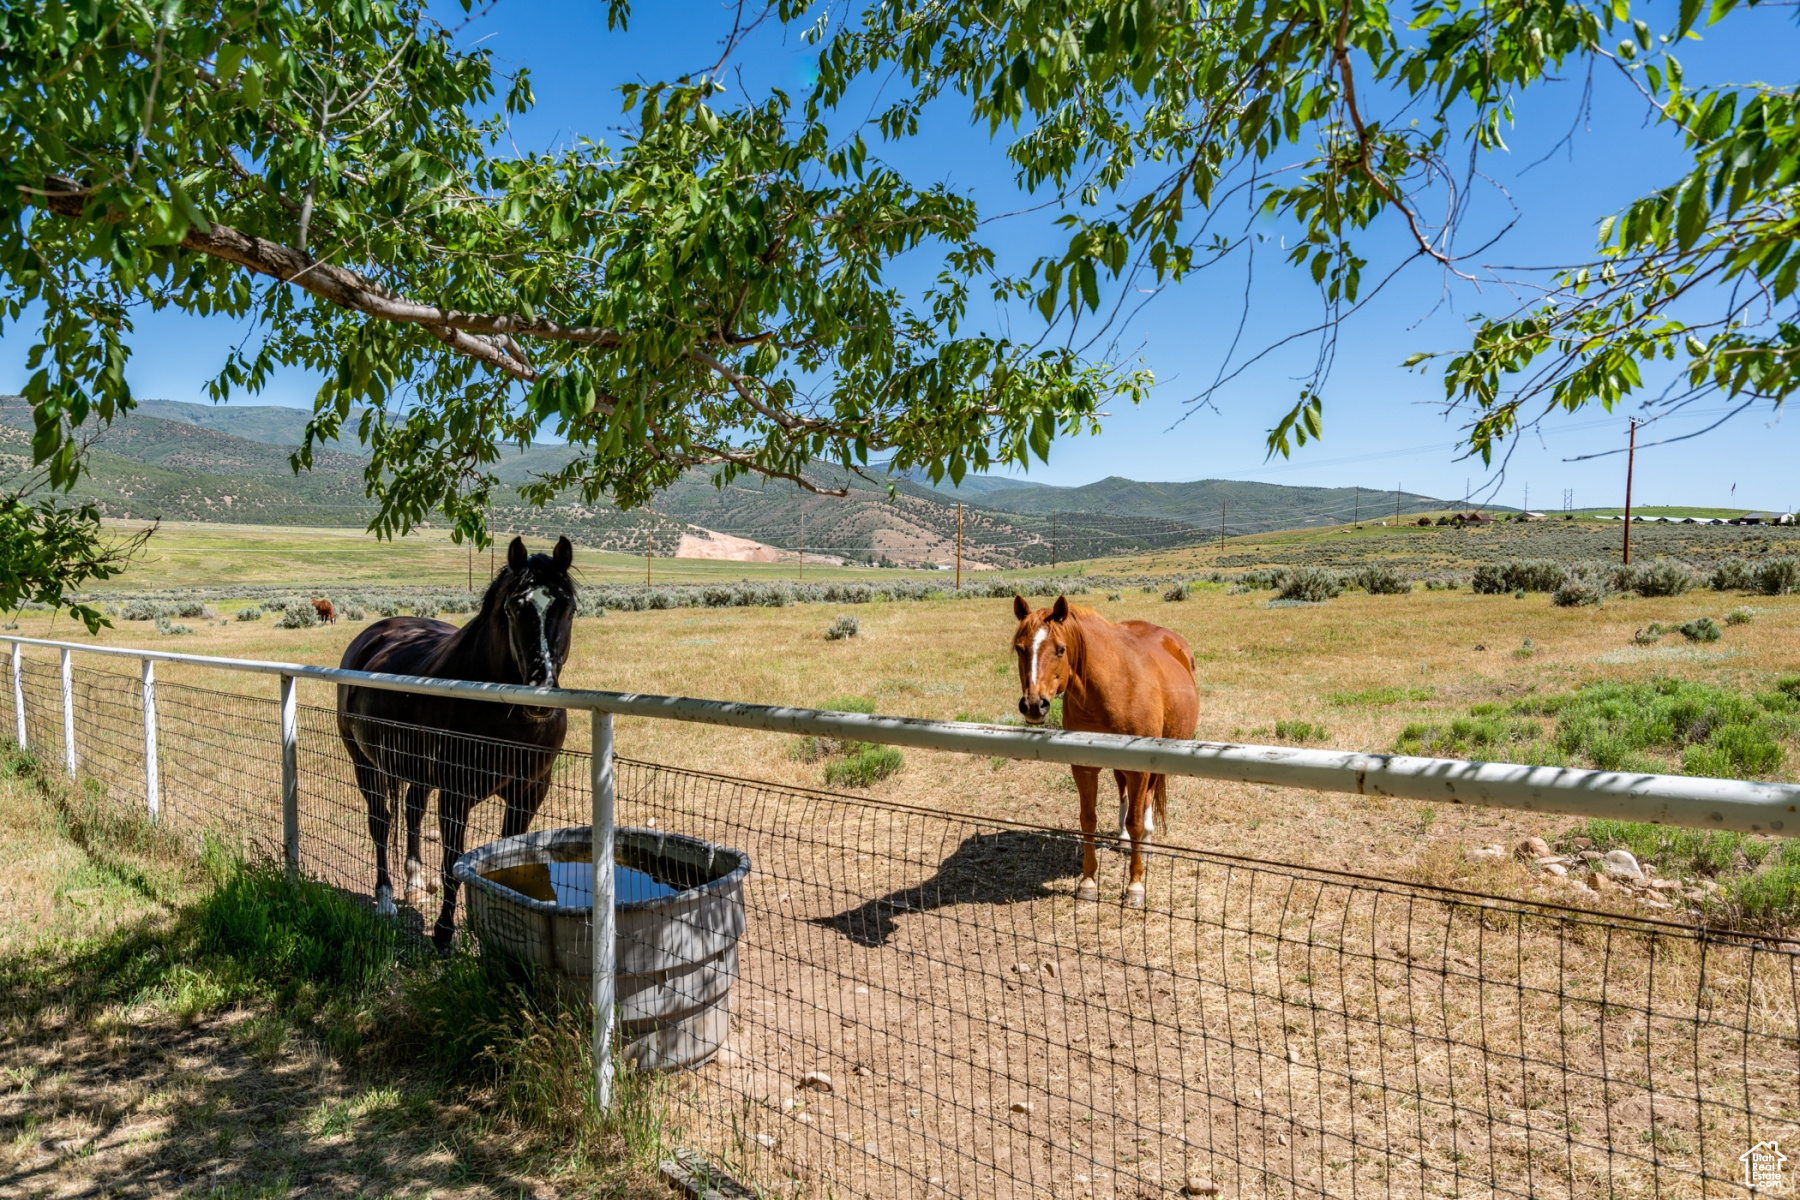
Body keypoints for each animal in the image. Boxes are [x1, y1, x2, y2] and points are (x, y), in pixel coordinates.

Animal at [338, 536, 576, 949]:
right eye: (514, 608)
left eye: (569, 608)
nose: (541, 694)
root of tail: (372, 636)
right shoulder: (455, 795)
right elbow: (452, 864)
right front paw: (443, 933)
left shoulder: (529, 793)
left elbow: (514, 858)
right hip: (366, 766)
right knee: (380, 824)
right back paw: (385, 900)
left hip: (414, 771)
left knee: (412, 813)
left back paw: (415, 881)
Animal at [1015, 597, 1195, 906]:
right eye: (1019, 648)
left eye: (1060, 649)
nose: (1034, 705)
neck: (1112, 688)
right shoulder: (1084, 768)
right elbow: (1088, 820)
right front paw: (1088, 881)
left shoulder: (1140, 768)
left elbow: (1136, 821)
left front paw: (1135, 885)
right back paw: (1123, 839)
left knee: (1146, 800)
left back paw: (1146, 842)